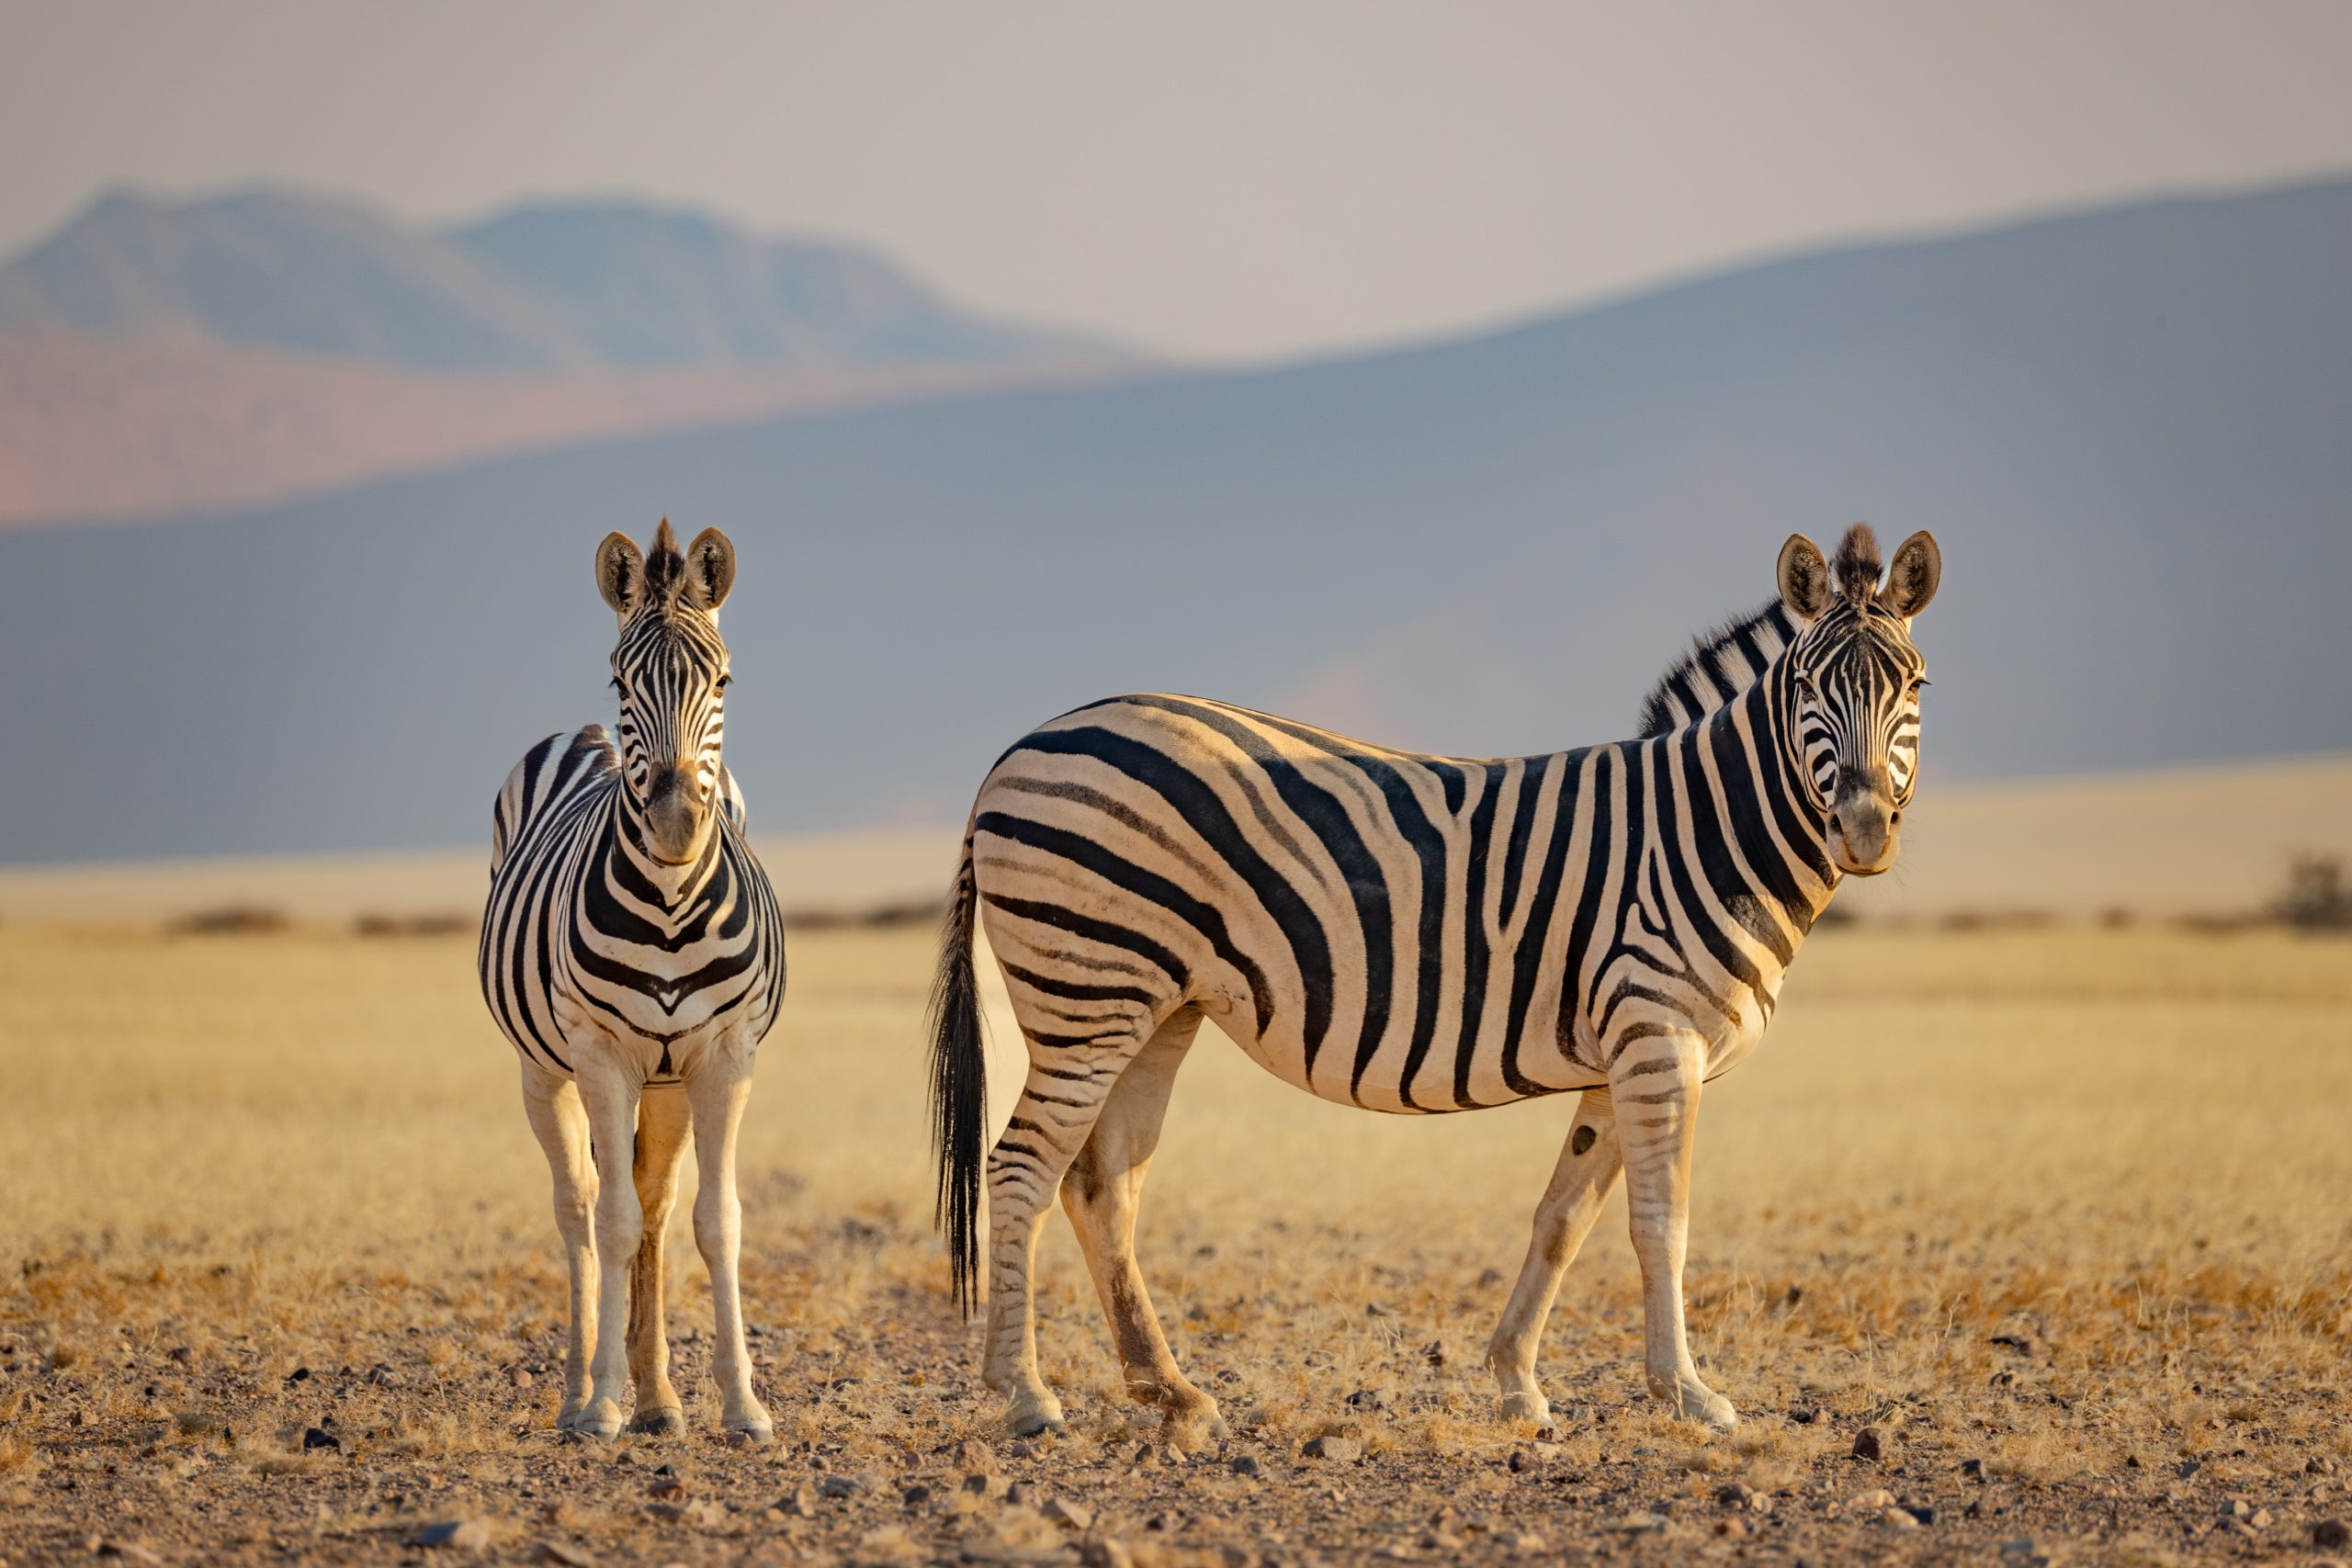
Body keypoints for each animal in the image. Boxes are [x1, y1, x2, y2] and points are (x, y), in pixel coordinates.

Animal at [478, 519, 785, 1443]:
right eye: (621, 677)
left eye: (724, 678)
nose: (678, 820)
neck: (671, 903)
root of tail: (584, 732)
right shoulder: (603, 1055)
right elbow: (611, 1222)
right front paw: (604, 1401)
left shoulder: (723, 1056)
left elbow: (716, 1220)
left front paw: (741, 1402)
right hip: (544, 1068)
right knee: (580, 1204)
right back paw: (583, 1387)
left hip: (670, 1078)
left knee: (656, 1200)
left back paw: (660, 1397)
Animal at [928, 523, 1939, 1442]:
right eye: (1804, 687)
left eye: (1916, 686)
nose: (1863, 830)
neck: (1705, 829)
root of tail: (1015, 751)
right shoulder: (1658, 1039)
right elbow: (1661, 1223)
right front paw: (1689, 1395)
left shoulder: (1619, 1054)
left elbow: (1563, 1216)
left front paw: (1517, 1382)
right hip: (1085, 994)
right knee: (1020, 1168)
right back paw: (1024, 1394)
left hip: (1155, 1006)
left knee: (1102, 1188)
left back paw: (1170, 1392)